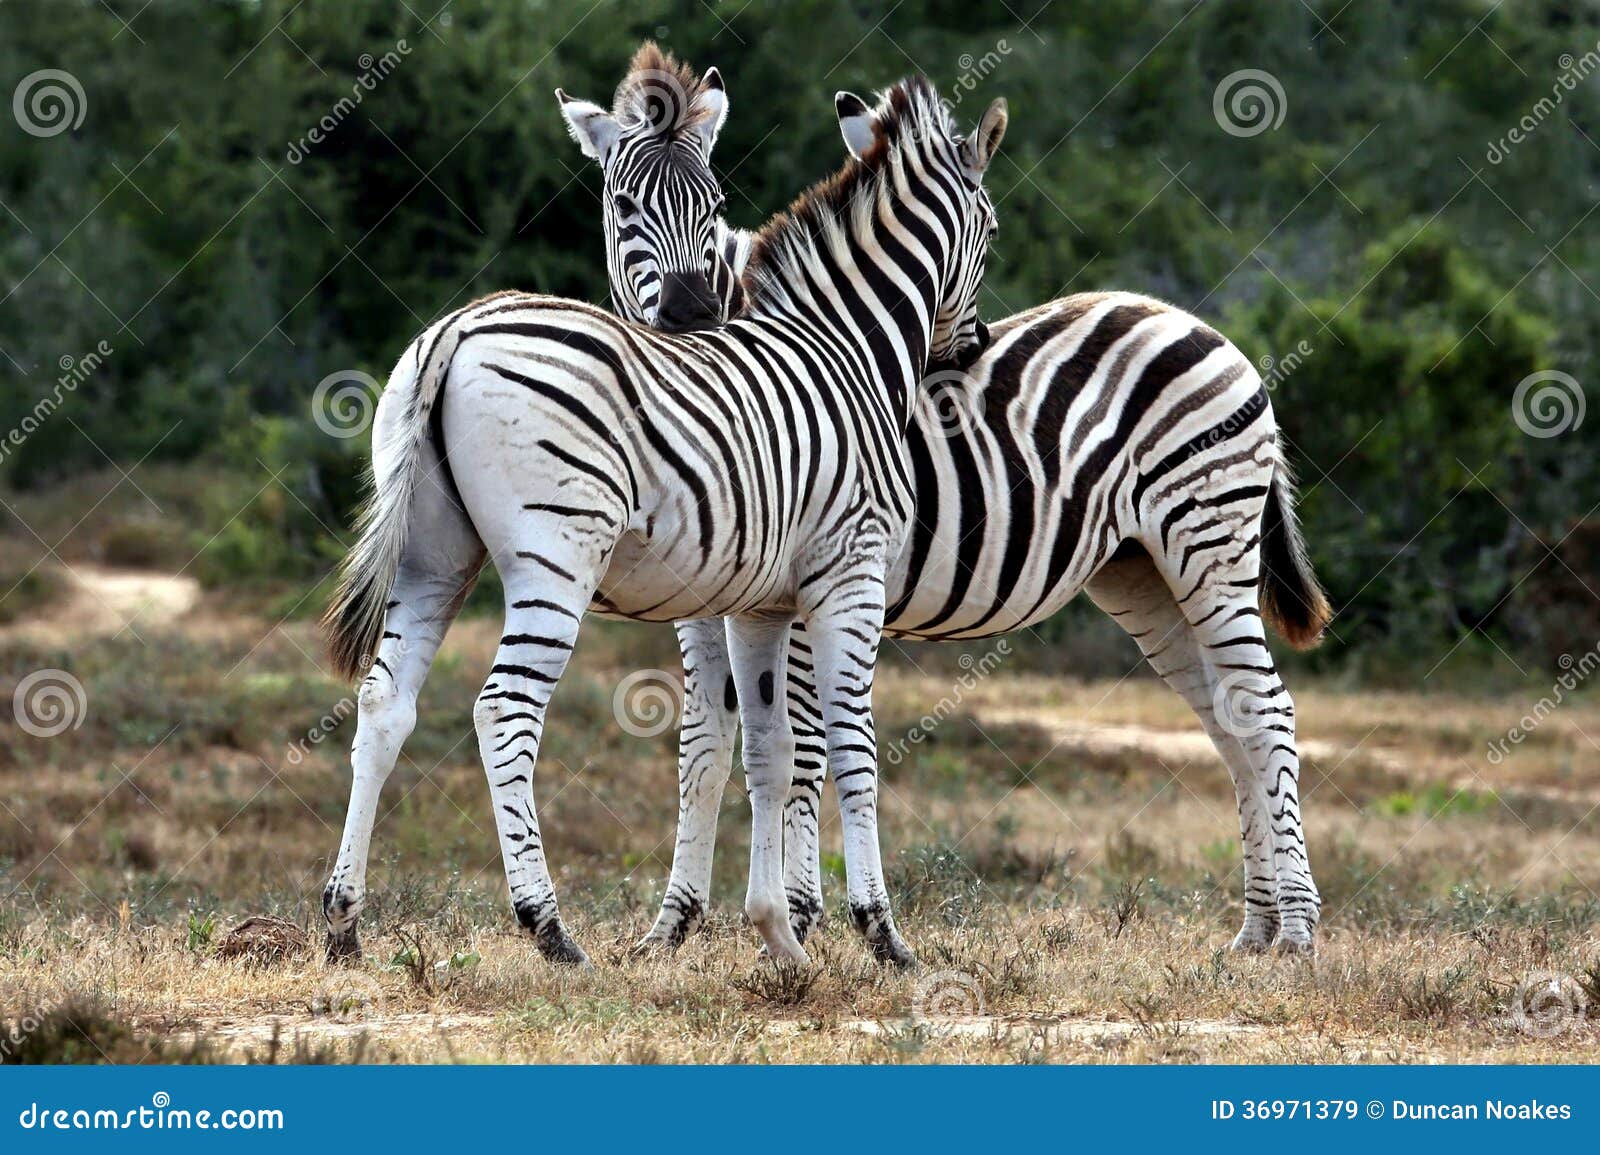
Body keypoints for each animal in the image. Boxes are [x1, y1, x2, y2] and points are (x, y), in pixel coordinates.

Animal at [319, 76, 1009, 969]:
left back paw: (343, 921)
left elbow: (768, 750)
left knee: (383, 703)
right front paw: (883, 934)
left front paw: (779, 935)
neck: (846, 348)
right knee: (503, 710)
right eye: (990, 230)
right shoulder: (849, 577)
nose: (973, 346)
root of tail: (456, 328)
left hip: (433, 556)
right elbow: (852, 750)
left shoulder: (759, 604)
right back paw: (549, 927)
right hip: (556, 558)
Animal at [565, 62, 1332, 956]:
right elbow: (703, 746)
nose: (691, 316)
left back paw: (1296, 930)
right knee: (1230, 719)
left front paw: (802, 915)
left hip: (1210, 544)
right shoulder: (706, 602)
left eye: (713, 202)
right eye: (624, 205)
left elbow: (804, 746)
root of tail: (1207, 330)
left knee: (1267, 711)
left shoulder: (814, 585)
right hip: (1145, 574)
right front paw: (671, 927)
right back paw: (1255, 930)